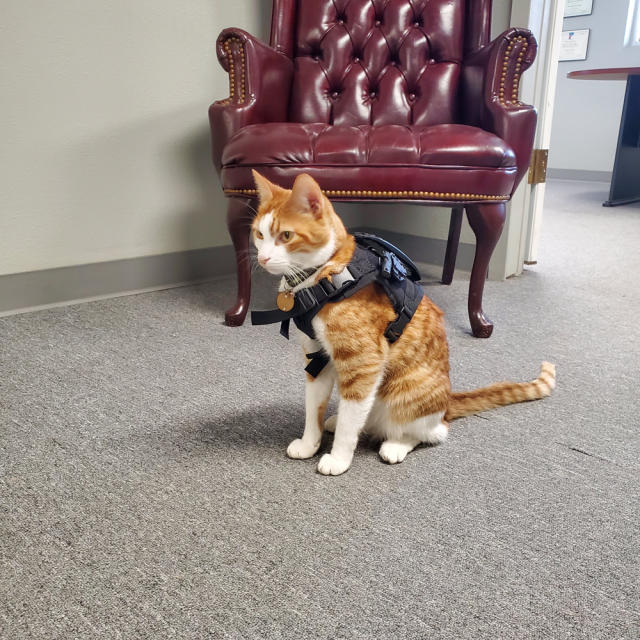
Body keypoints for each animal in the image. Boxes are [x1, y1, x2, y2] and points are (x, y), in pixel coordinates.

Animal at [250, 171, 556, 476]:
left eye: (286, 235)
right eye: (259, 234)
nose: (262, 258)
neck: (326, 277)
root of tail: (447, 402)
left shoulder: (363, 364)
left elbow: (351, 423)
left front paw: (338, 458)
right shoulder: (317, 357)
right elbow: (313, 408)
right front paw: (309, 444)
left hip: (405, 396)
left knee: (430, 432)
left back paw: (395, 445)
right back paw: (338, 421)